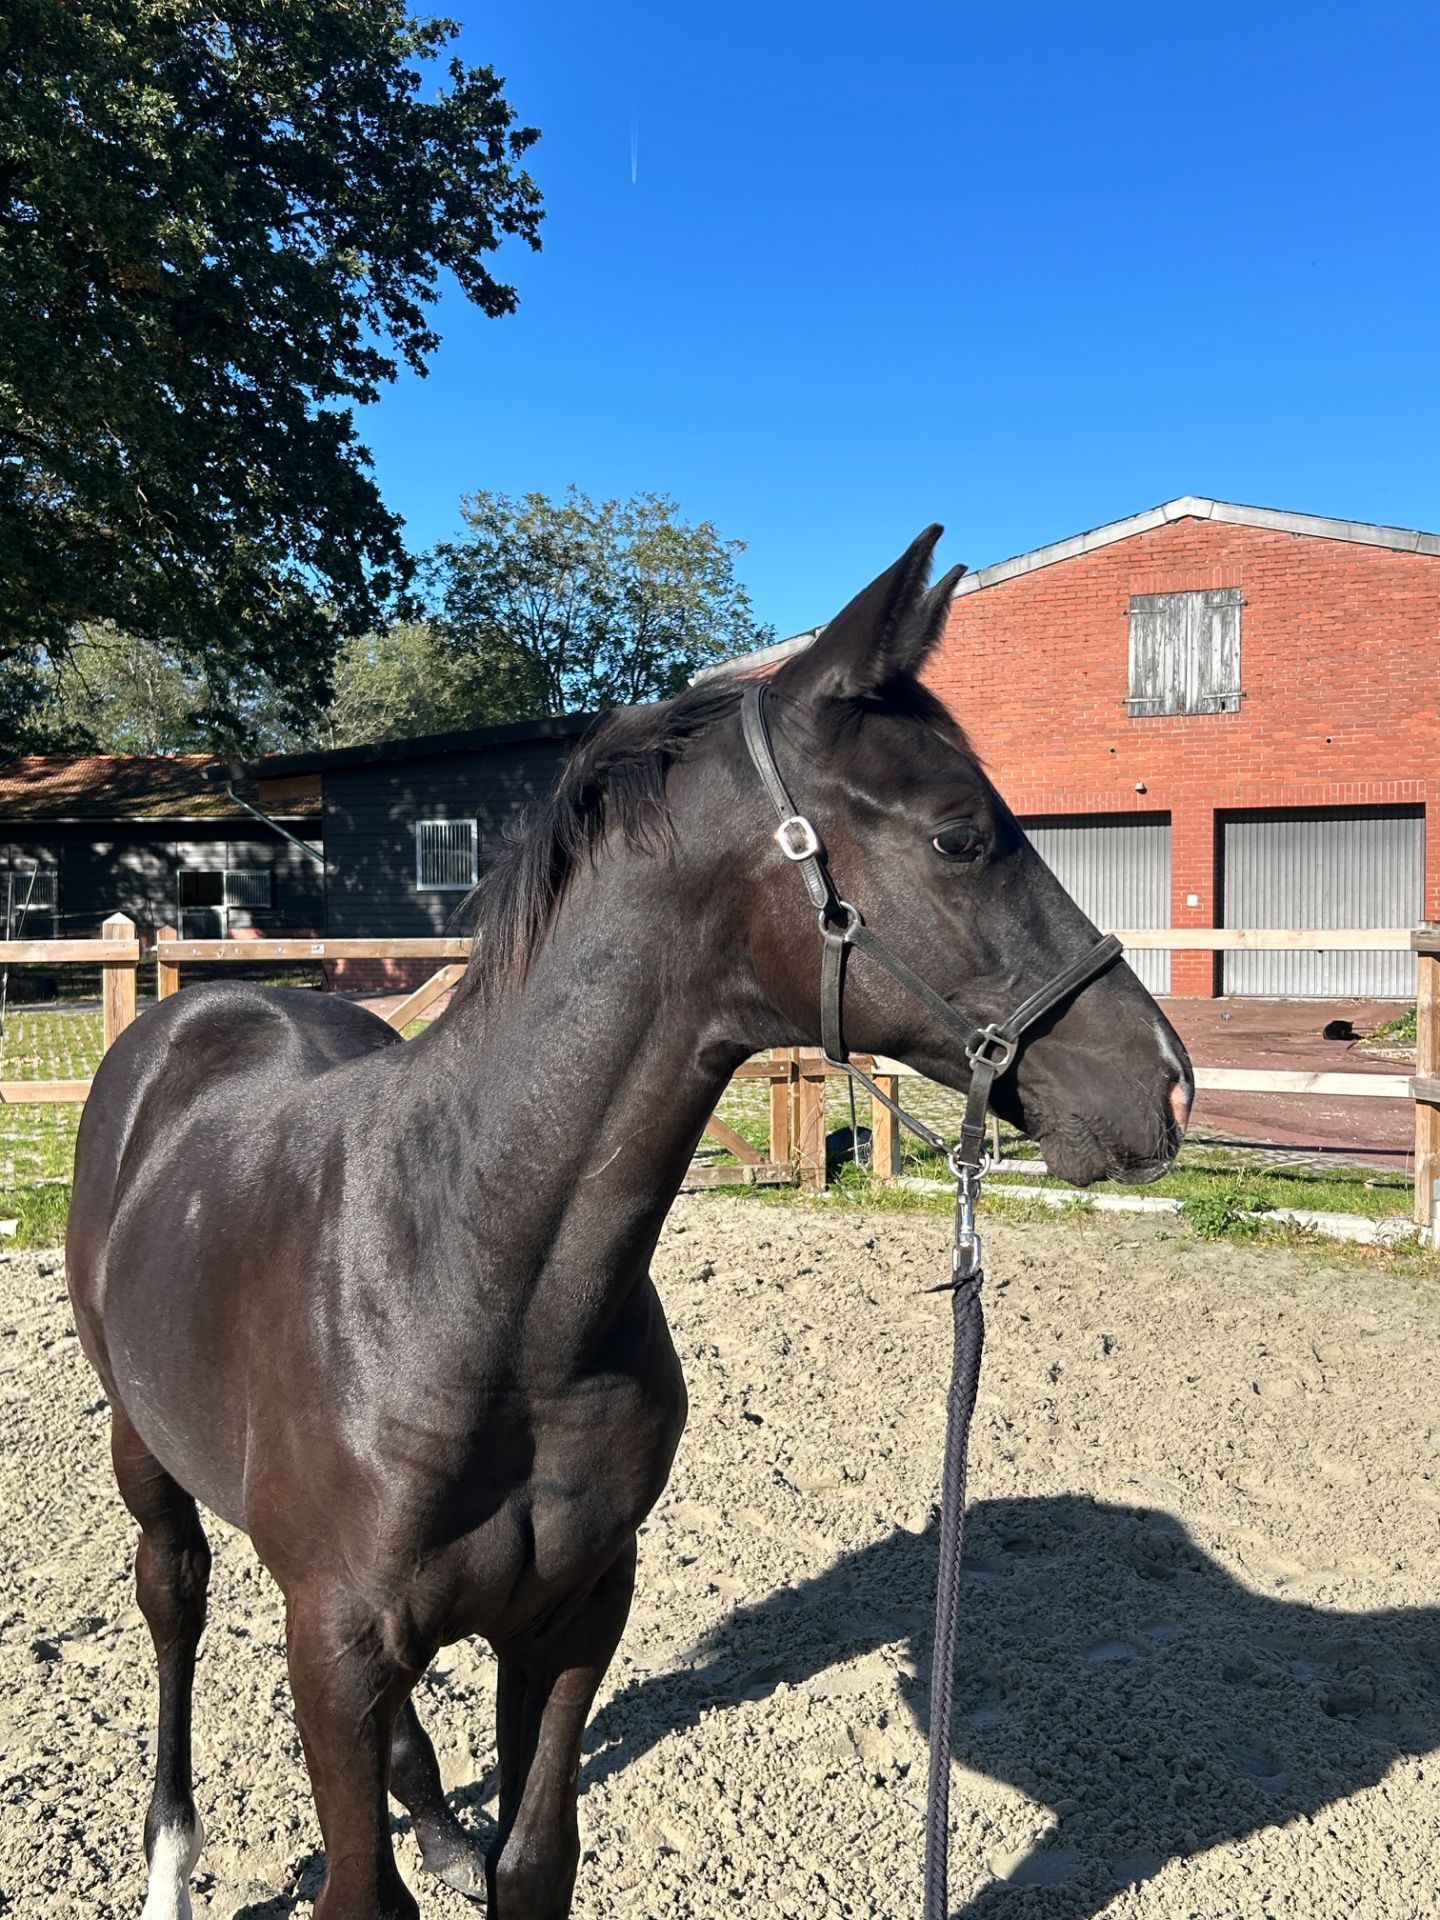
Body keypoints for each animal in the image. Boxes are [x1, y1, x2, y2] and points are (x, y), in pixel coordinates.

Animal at [66, 527, 1192, 1920]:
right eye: (960, 837)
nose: (1164, 1083)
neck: (469, 1286)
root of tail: (192, 1012)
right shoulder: (333, 1642)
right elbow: (358, 1882)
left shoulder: (569, 1613)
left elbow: (533, 1860)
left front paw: (464, 1841)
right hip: (148, 1458)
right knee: (172, 1607)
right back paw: (173, 1862)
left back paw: (432, 1818)